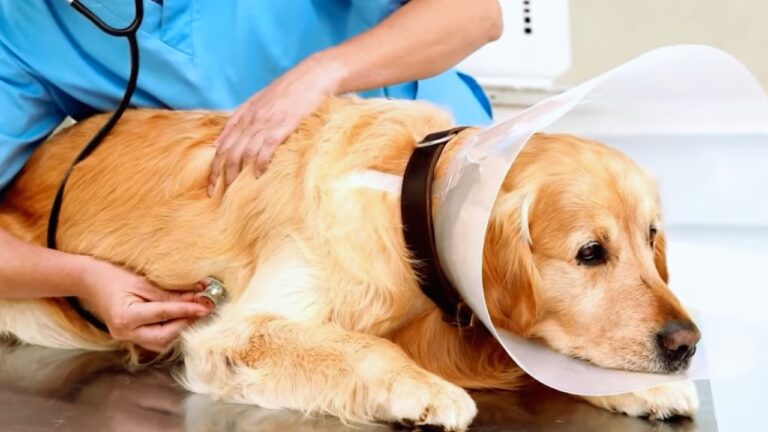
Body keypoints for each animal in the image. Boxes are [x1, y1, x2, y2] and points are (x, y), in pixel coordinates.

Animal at [0, 96, 700, 430]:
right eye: (590, 253)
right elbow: (363, 346)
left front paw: (640, 385)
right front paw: (423, 389)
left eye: (651, 238)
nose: (685, 343)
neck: (409, 206)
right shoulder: (235, 331)